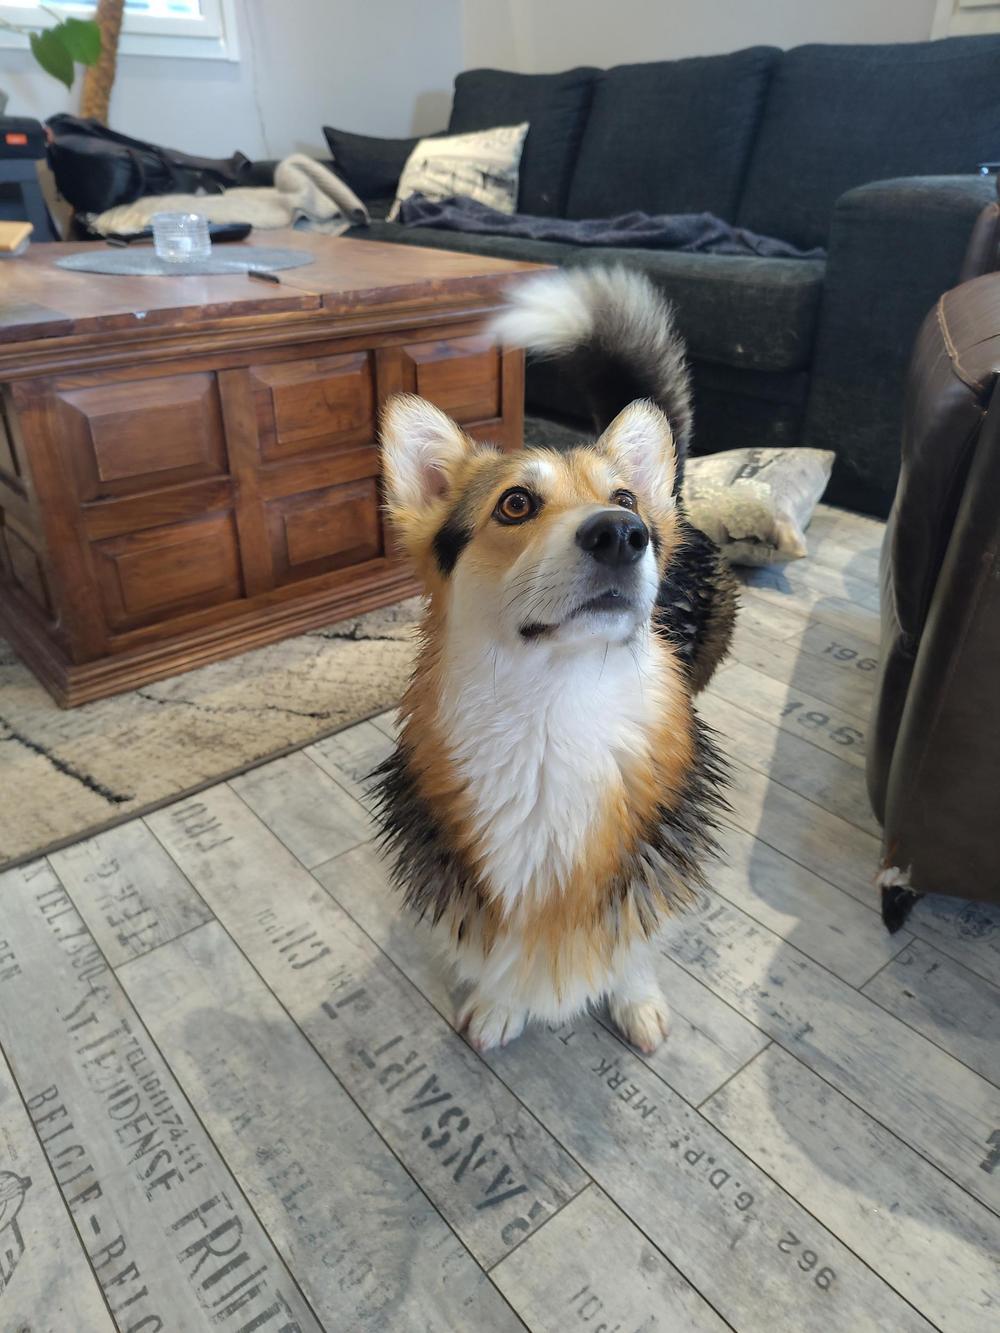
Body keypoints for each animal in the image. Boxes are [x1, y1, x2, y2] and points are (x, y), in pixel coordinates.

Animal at [373, 267, 736, 1053]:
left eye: (623, 498)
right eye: (515, 504)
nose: (624, 533)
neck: (554, 704)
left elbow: (633, 939)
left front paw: (635, 999)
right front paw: (500, 1005)